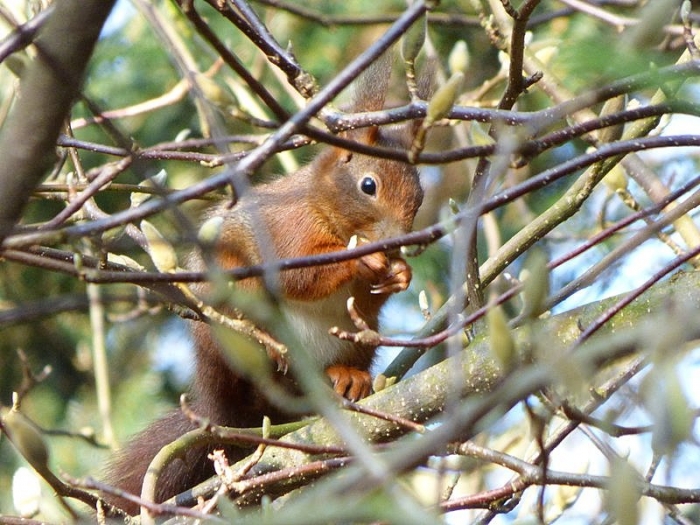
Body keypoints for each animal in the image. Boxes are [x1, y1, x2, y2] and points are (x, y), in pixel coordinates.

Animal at [104, 55, 424, 515]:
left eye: (419, 193)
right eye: (369, 185)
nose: (402, 242)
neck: (326, 213)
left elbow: (367, 298)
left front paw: (399, 274)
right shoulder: (285, 230)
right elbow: (296, 276)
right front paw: (364, 258)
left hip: (358, 341)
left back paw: (347, 377)